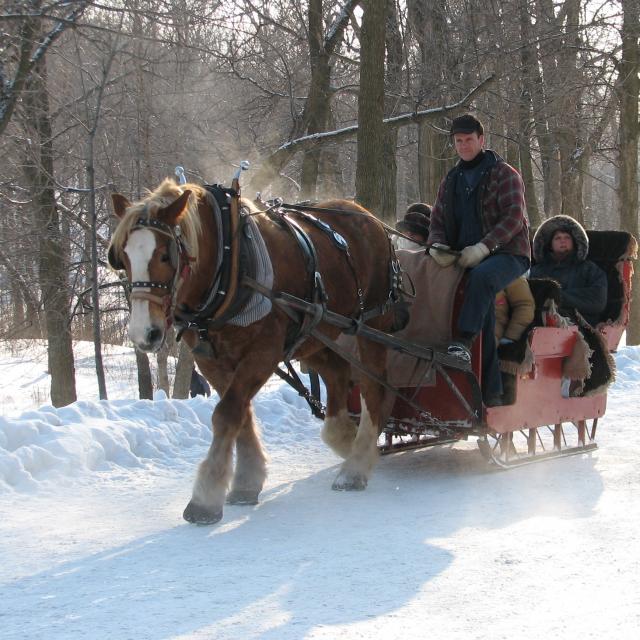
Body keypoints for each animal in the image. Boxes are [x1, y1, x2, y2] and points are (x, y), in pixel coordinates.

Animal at [107, 178, 402, 524]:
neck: (231, 264)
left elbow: (227, 414)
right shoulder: (211, 361)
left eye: (166, 255)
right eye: (123, 258)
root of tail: (368, 217)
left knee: (372, 386)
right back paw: (344, 438)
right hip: (314, 334)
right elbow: (240, 414)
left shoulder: (263, 351)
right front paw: (246, 482)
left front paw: (205, 498)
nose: (144, 334)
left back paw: (356, 463)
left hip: (371, 325)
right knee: (338, 373)